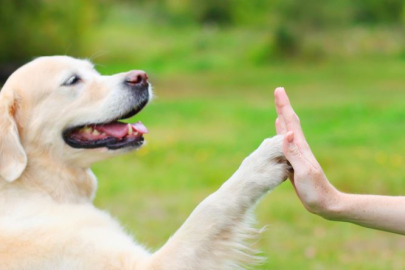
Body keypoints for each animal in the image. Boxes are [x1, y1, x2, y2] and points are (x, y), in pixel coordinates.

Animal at [1, 56, 288, 268]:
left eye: (93, 71)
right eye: (72, 80)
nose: (141, 77)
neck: (36, 186)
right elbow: (209, 209)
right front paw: (261, 163)